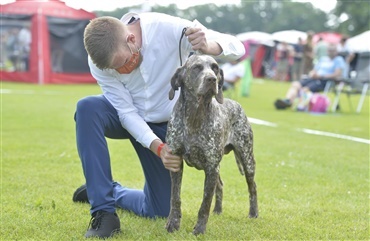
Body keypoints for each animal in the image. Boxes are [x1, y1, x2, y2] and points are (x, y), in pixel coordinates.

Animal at [165, 55, 258, 235]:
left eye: (215, 67)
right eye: (196, 67)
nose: (212, 79)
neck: (195, 115)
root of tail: (237, 105)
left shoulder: (211, 166)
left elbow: (205, 202)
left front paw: (200, 229)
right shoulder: (176, 161)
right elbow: (175, 198)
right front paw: (173, 223)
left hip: (246, 159)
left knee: (252, 187)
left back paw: (253, 213)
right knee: (220, 185)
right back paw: (218, 210)